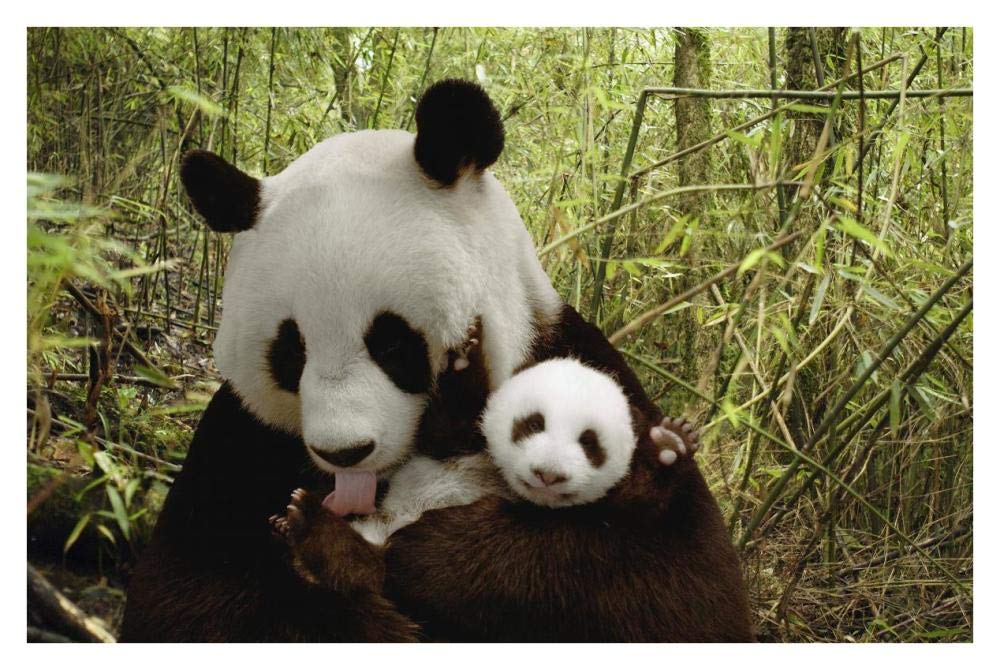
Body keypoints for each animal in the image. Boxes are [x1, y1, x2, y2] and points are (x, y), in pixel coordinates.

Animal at [120, 79, 752, 642]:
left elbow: (679, 586)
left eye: (392, 344)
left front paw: (437, 552)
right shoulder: (241, 440)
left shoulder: (576, 360)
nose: (344, 453)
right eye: (290, 351)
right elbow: (191, 597)